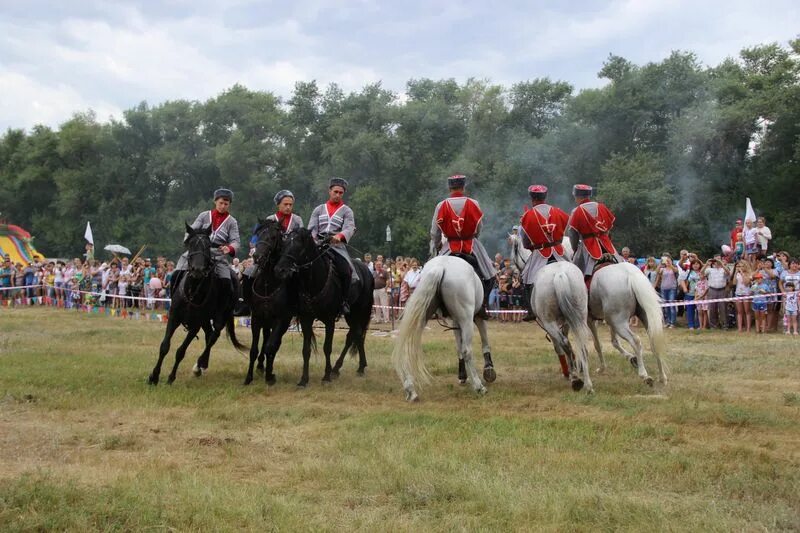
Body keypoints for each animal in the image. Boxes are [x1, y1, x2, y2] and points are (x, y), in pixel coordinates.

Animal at [147, 222, 247, 384]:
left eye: (208, 246)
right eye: (191, 244)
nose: (197, 270)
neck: (192, 291)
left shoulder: (195, 325)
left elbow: (181, 351)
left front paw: (171, 377)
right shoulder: (174, 317)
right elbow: (164, 346)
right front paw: (154, 376)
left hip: (220, 317)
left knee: (214, 336)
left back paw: (199, 364)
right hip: (206, 320)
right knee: (209, 334)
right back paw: (201, 366)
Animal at [244, 218, 296, 384]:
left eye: (273, 237)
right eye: (259, 234)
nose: (257, 257)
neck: (267, 284)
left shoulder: (280, 320)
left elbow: (270, 347)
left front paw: (269, 376)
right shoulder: (256, 318)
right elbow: (254, 350)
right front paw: (248, 378)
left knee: (273, 344)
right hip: (266, 321)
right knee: (266, 339)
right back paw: (261, 366)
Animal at [276, 229, 376, 386]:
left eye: (297, 246)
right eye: (284, 244)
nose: (280, 270)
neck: (314, 281)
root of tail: (366, 270)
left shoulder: (329, 320)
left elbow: (327, 347)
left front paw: (326, 376)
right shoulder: (306, 319)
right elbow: (306, 350)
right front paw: (304, 380)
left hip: (358, 311)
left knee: (356, 334)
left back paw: (351, 368)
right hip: (351, 315)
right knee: (355, 334)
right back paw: (345, 368)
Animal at [394, 256, 494, 402]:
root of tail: (440, 267)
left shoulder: (456, 321)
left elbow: (458, 347)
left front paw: (462, 375)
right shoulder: (476, 317)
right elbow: (484, 341)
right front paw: (489, 370)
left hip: (424, 313)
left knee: (408, 346)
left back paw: (410, 389)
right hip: (467, 319)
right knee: (467, 351)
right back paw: (478, 386)